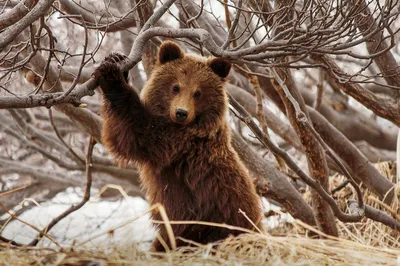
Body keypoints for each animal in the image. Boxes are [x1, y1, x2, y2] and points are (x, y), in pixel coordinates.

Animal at [94, 41, 262, 251]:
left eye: (198, 92)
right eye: (175, 87)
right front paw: (116, 60)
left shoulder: (180, 144)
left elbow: (136, 132)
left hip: (215, 219)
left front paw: (111, 76)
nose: (181, 112)